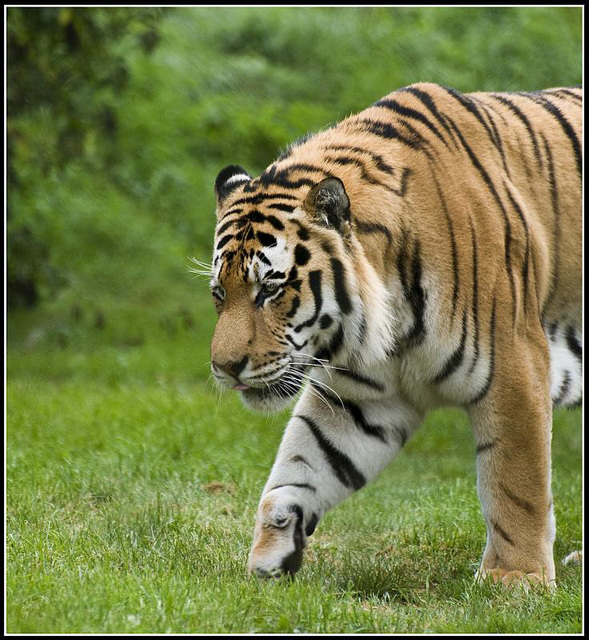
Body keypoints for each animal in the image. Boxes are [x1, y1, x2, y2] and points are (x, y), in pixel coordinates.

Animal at [206, 82, 580, 588]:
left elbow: (515, 483)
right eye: (219, 293)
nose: (225, 368)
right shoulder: (361, 398)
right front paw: (271, 554)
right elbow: (299, 469)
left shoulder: (515, 365)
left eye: (269, 289)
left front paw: (516, 579)